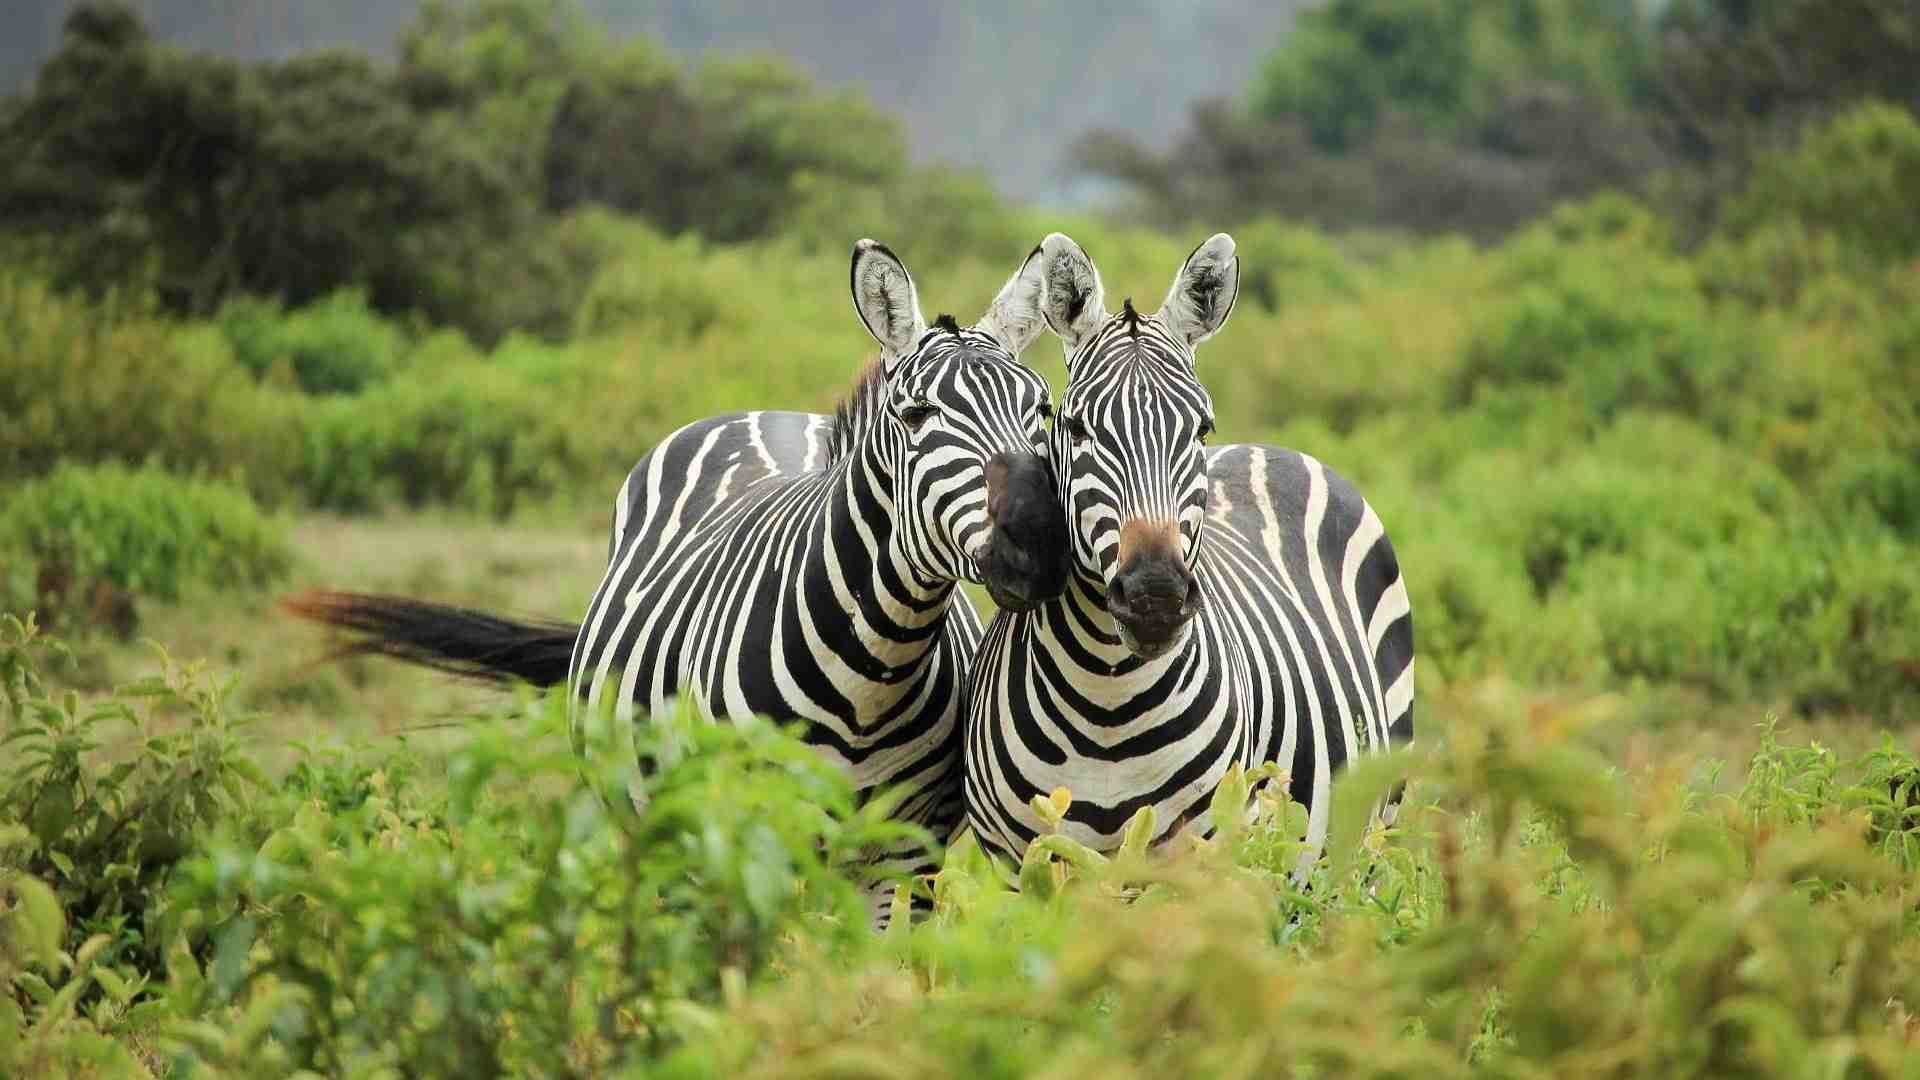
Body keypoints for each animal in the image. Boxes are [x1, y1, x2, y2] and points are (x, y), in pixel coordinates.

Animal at [293, 239, 1082, 903]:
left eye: (1043, 410)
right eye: (917, 416)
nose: (1041, 542)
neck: (872, 673)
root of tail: (764, 412)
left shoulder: (904, 858)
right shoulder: (742, 837)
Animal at [960, 233, 1413, 864]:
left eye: (1200, 428)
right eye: (1075, 427)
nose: (1155, 596)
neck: (1107, 701)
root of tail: (1270, 448)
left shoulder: (1199, 856)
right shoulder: (1020, 861)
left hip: (1371, 828)